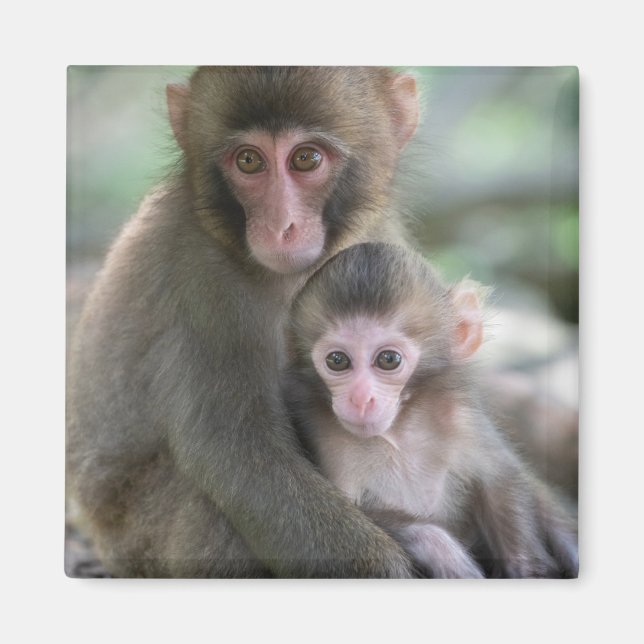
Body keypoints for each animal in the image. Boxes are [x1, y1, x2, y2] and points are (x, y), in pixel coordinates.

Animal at [66, 67, 422, 578]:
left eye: (306, 158)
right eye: (249, 161)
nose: (280, 226)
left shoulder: (377, 240)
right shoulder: (201, 278)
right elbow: (235, 452)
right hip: (141, 540)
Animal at [285, 242, 579, 578]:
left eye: (388, 359)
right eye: (337, 360)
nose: (360, 399)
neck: (397, 434)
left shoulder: (460, 417)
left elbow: (499, 478)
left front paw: (527, 568)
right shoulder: (321, 433)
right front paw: (441, 549)